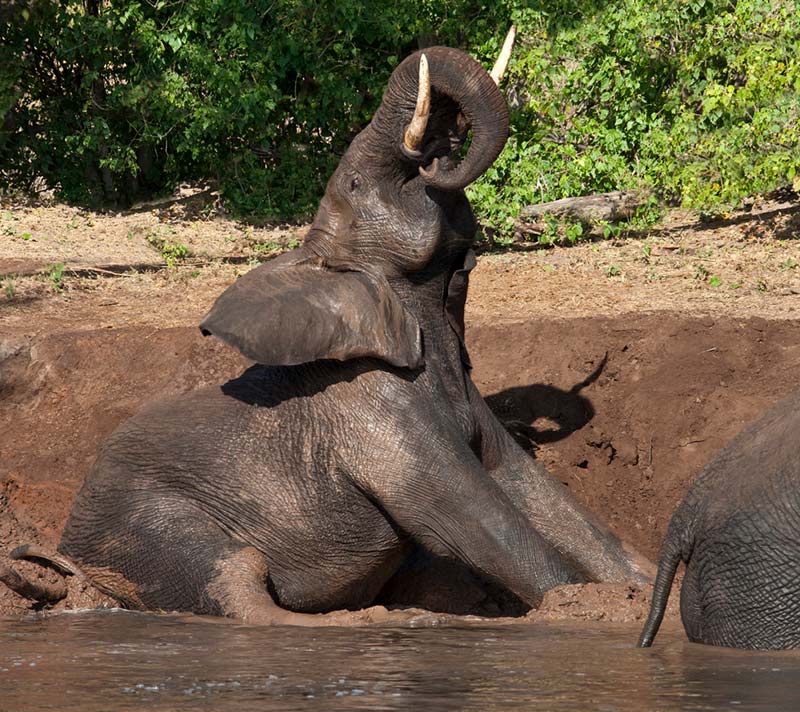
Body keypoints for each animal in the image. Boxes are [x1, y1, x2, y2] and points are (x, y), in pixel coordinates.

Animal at [6, 43, 652, 624]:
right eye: (361, 183)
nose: (439, 148)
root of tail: (73, 553)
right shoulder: (371, 414)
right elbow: (475, 524)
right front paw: (600, 611)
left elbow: (544, 498)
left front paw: (644, 586)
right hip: (146, 526)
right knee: (239, 582)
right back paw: (402, 619)